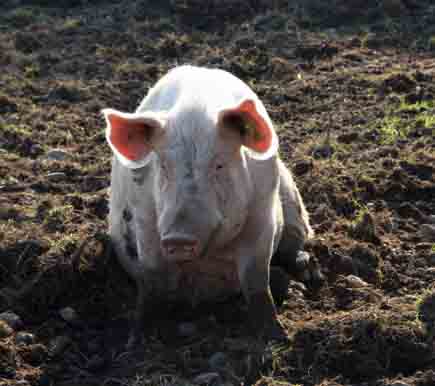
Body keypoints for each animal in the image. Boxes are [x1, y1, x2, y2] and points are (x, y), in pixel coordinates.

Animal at [104, 65, 316, 344]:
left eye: (219, 165)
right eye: (164, 167)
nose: (179, 238)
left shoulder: (262, 218)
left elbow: (256, 282)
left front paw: (278, 338)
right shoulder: (145, 220)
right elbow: (151, 281)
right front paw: (135, 342)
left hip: (294, 205)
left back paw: (306, 272)